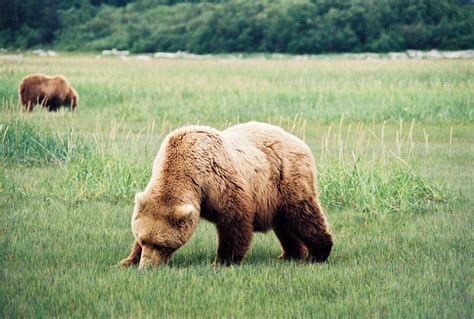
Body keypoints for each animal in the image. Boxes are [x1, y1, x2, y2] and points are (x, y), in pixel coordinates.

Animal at [118, 121, 334, 268]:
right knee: (284, 224)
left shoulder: (218, 180)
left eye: (161, 245)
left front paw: (222, 261)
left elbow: (234, 220)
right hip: (274, 197)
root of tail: (300, 142)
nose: (147, 266)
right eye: (143, 240)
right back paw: (290, 254)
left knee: (303, 215)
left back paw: (318, 253)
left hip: (286, 178)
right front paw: (127, 260)